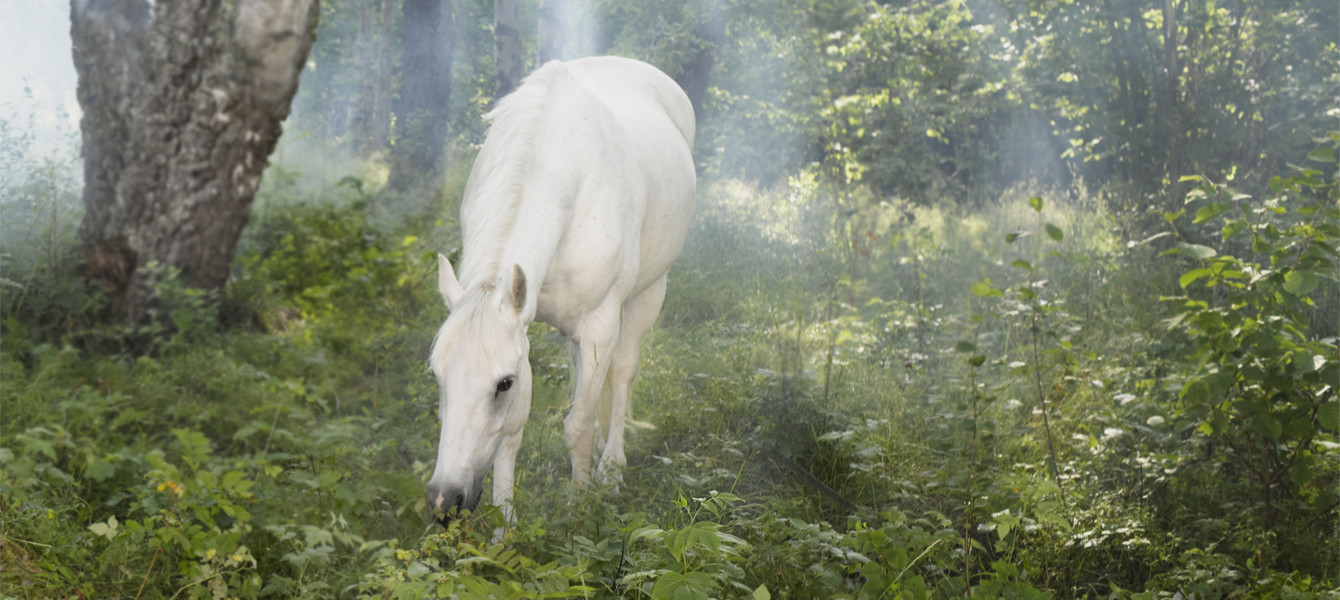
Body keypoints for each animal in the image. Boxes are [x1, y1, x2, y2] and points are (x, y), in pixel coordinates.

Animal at [426, 57, 702, 519]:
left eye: (503, 384)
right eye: (437, 375)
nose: (446, 498)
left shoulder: (599, 325)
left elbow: (578, 425)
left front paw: (579, 509)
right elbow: (513, 438)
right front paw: (505, 527)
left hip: (648, 294)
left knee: (622, 372)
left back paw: (610, 470)